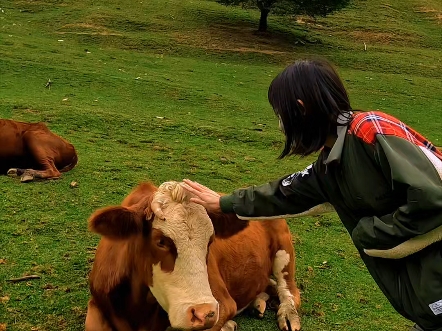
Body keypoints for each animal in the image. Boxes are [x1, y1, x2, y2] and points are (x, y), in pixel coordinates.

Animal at [85, 182, 302, 331]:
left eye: (210, 240)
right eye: (160, 241)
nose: (204, 313)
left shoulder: (223, 303)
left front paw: (227, 325)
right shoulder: (98, 302)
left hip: (284, 250)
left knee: (288, 289)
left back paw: (287, 314)